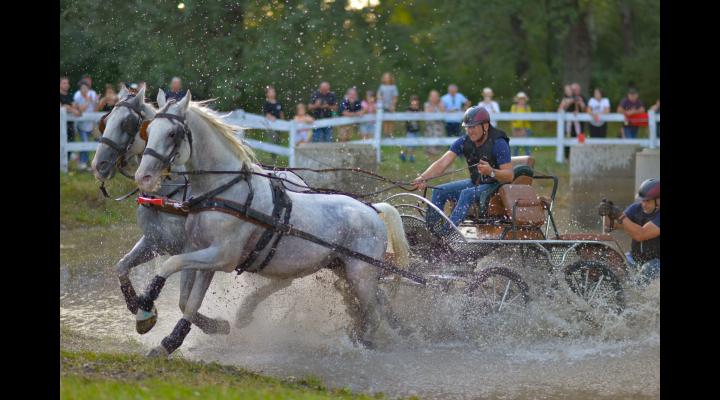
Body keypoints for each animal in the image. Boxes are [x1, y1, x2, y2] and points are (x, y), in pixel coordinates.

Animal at [90, 86, 312, 336]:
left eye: (126, 123)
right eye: (106, 121)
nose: (99, 165)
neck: (172, 193)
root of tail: (300, 182)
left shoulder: (190, 248)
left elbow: (184, 300)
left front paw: (213, 325)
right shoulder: (155, 240)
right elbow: (121, 266)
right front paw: (140, 307)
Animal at [132, 90, 408, 356]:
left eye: (172, 133)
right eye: (149, 129)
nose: (143, 177)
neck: (223, 191)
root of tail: (373, 209)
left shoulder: (223, 256)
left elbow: (169, 264)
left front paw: (145, 309)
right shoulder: (201, 252)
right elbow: (188, 302)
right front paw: (175, 340)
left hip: (361, 273)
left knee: (373, 313)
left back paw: (364, 344)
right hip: (342, 268)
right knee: (377, 305)